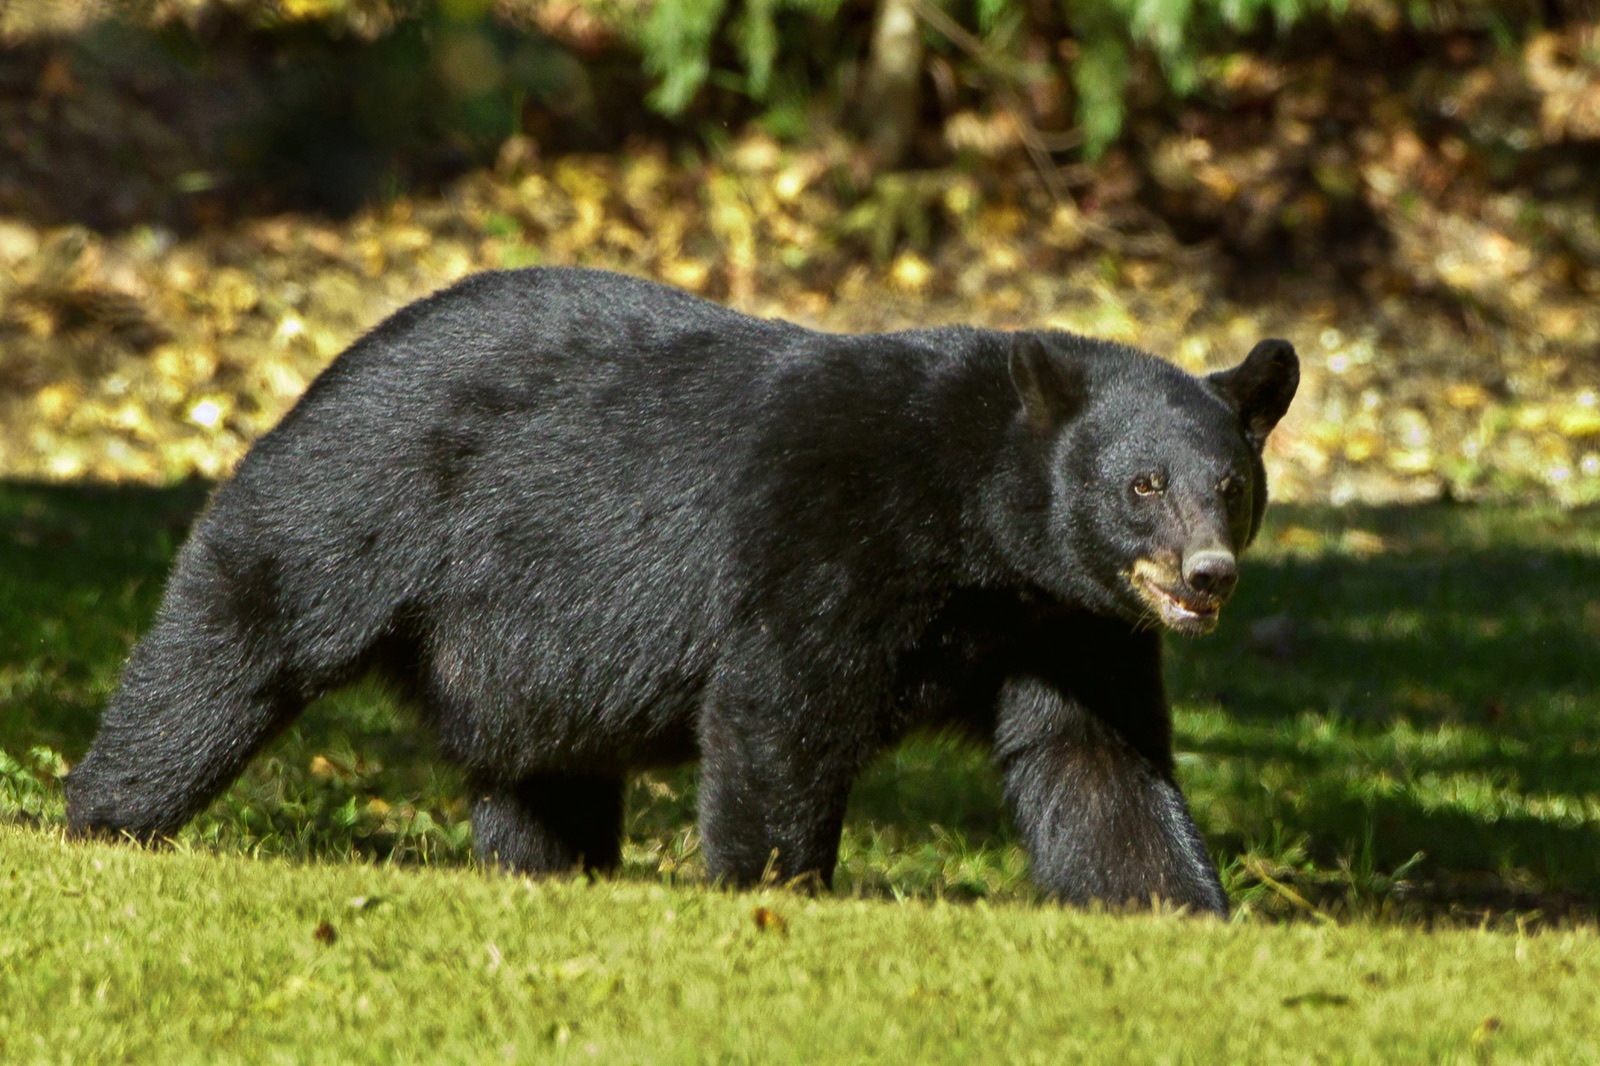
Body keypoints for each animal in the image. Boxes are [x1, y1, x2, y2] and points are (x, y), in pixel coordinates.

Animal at [65, 266, 1298, 914]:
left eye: (1231, 486)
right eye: (1142, 485)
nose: (1207, 574)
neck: (975, 531)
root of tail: (333, 361)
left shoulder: (1066, 621)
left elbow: (1096, 763)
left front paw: (1183, 909)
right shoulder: (828, 534)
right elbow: (780, 711)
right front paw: (775, 892)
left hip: (520, 654)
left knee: (541, 775)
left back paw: (550, 873)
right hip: (358, 500)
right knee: (233, 642)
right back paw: (105, 818)